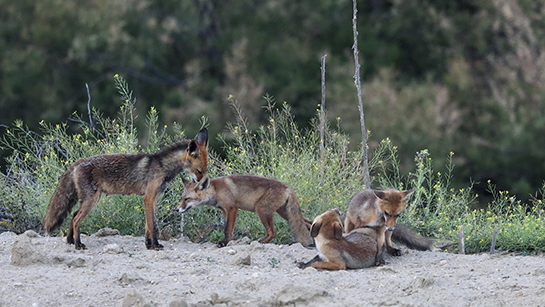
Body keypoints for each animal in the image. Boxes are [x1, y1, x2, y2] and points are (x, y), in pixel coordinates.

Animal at [176, 176, 312, 248]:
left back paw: (260, 242)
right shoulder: (224, 211)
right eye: (182, 198)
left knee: (272, 232)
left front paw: (225, 242)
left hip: (261, 210)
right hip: (285, 214)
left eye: (187, 199)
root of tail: (288, 188)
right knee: (308, 223)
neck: (216, 190)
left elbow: (228, 229)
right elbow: (226, 227)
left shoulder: (232, 208)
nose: (176, 209)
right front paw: (226, 241)